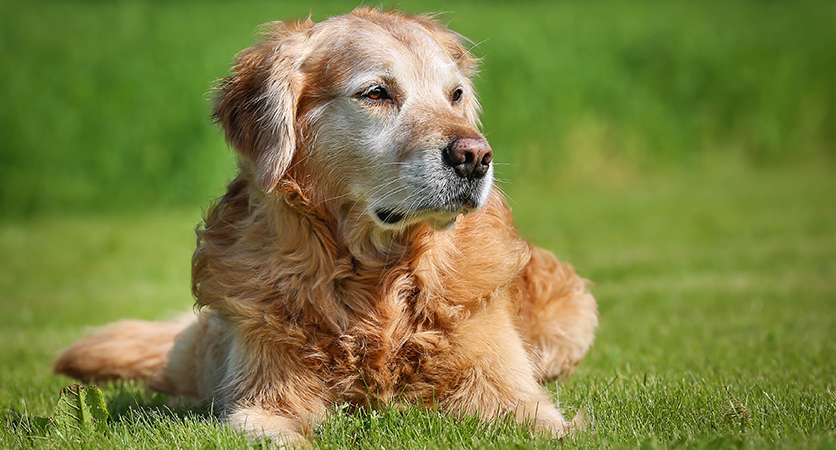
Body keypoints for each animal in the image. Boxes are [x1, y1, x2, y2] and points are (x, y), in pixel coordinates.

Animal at [52, 7, 596, 446]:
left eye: (455, 95)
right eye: (376, 93)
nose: (475, 157)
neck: (375, 279)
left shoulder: (509, 388)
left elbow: (546, 422)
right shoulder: (262, 396)